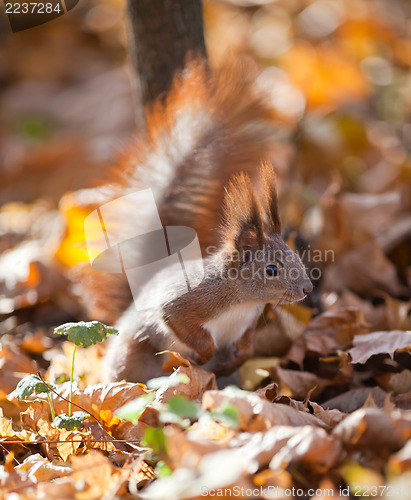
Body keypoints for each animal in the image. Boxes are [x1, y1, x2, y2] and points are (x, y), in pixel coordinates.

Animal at [92, 59, 312, 382]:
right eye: (271, 269)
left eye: (296, 256)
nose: (308, 289)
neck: (245, 301)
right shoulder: (189, 300)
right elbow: (177, 319)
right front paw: (204, 354)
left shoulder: (248, 322)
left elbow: (247, 345)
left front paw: (237, 356)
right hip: (130, 354)